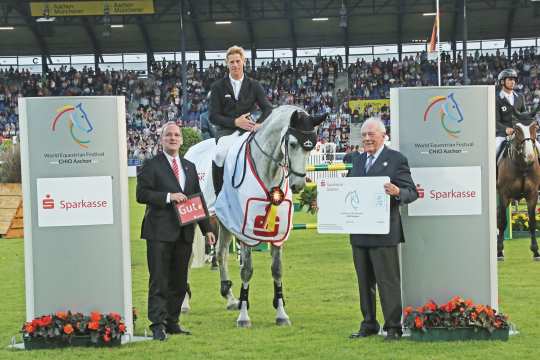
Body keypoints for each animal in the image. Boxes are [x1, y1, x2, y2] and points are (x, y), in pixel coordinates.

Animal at [498, 122, 540, 260]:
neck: (522, 166)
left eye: (535, 128)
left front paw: (535, 251)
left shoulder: (532, 195)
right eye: (517, 130)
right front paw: (499, 252)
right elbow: (502, 222)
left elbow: (532, 223)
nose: (530, 157)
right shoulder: (504, 195)